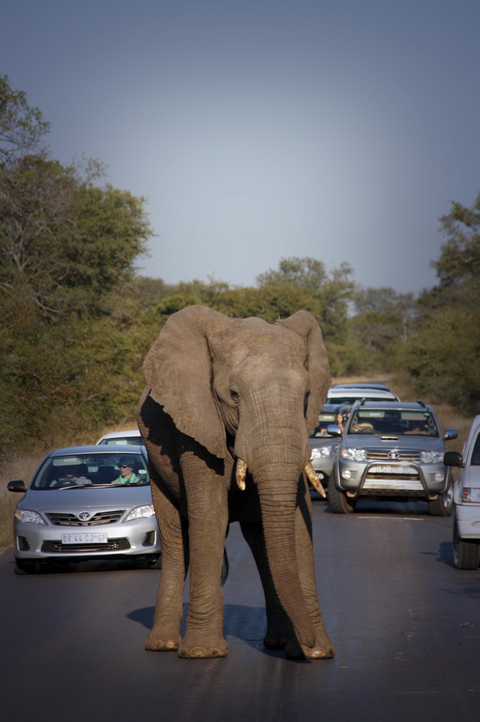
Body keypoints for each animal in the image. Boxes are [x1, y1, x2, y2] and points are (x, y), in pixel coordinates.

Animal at [137, 305, 335, 660]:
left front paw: (316, 653)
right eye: (233, 395)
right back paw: (164, 645)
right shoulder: (195, 426)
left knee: (260, 542)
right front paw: (203, 653)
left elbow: (300, 522)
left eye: (307, 395)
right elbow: (210, 516)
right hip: (155, 467)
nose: (308, 642)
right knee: (175, 538)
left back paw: (277, 642)